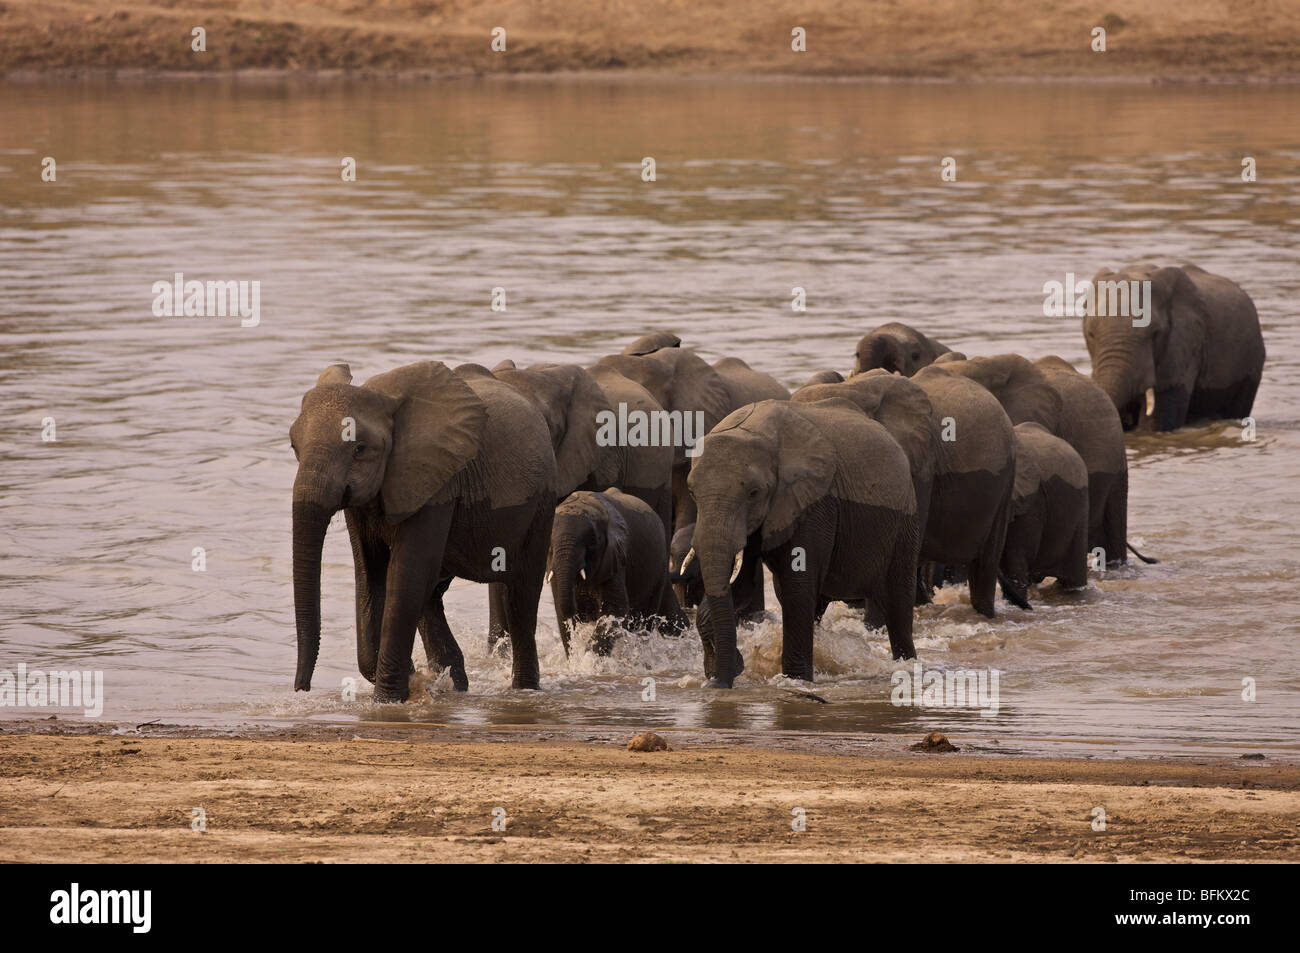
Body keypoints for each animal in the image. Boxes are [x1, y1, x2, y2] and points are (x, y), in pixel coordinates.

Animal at [289, 361, 556, 702]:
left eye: (360, 449)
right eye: (294, 446)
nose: (302, 688)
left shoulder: (437, 483)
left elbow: (407, 574)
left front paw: (390, 699)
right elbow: (370, 575)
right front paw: (415, 681)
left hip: (541, 502)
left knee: (521, 593)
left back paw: (523, 689)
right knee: (432, 593)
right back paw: (454, 683)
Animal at [547, 489, 687, 655]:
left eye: (593, 540)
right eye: (550, 543)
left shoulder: (617, 557)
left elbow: (615, 610)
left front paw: (589, 656)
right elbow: (562, 616)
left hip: (660, 565)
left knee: (646, 617)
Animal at [685, 398, 920, 687]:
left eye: (753, 493)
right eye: (692, 492)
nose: (718, 684)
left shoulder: (812, 504)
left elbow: (797, 588)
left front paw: (795, 680)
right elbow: (742, 585)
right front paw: (721, 671)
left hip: (905, 522)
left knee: (898, 602)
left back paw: (906, 665)